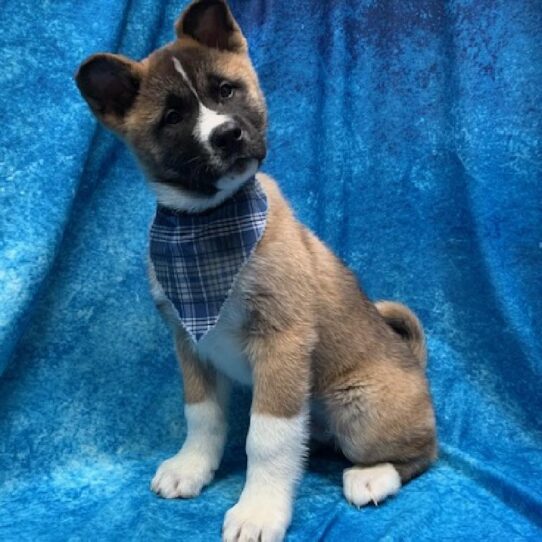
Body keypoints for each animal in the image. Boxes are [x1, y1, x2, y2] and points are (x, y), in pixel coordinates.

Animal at [75, 2, 438, 540]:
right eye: (172, 116)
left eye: (226, 90)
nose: (227, 135)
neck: (208, 226)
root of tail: (414, 363)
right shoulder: (191, 344)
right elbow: (203, 416)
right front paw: (192, 467)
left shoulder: (281, 345)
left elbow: (266, 439)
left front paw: (259, 510)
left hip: (360, 409)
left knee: (425, 450)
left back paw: (372, 476)